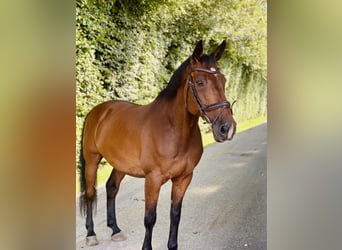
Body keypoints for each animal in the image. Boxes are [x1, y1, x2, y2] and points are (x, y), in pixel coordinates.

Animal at [79, 40, 236, 249]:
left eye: (224, 81)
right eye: (200, 82)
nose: (227, 128)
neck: (172, 130)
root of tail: (97, 111)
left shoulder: (183, 178)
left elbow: (175, 215)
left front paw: (172, 245)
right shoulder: (153, 179)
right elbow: (150, 218)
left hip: (120, 164)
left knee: (111, 188)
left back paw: (115, 230)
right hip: (92, 160)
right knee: (90, 194)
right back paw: (90, 234)